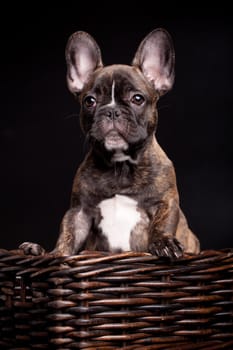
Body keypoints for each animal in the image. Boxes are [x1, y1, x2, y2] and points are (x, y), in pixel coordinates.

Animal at [19, 27, 199, 258]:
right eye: (90, 101)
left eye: (137, 99)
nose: (111, 111)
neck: (120, 166)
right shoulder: (79, 211)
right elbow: (68, 235)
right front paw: (55, 255)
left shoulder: (166, 201)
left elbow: (163, 223)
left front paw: (164, 243)